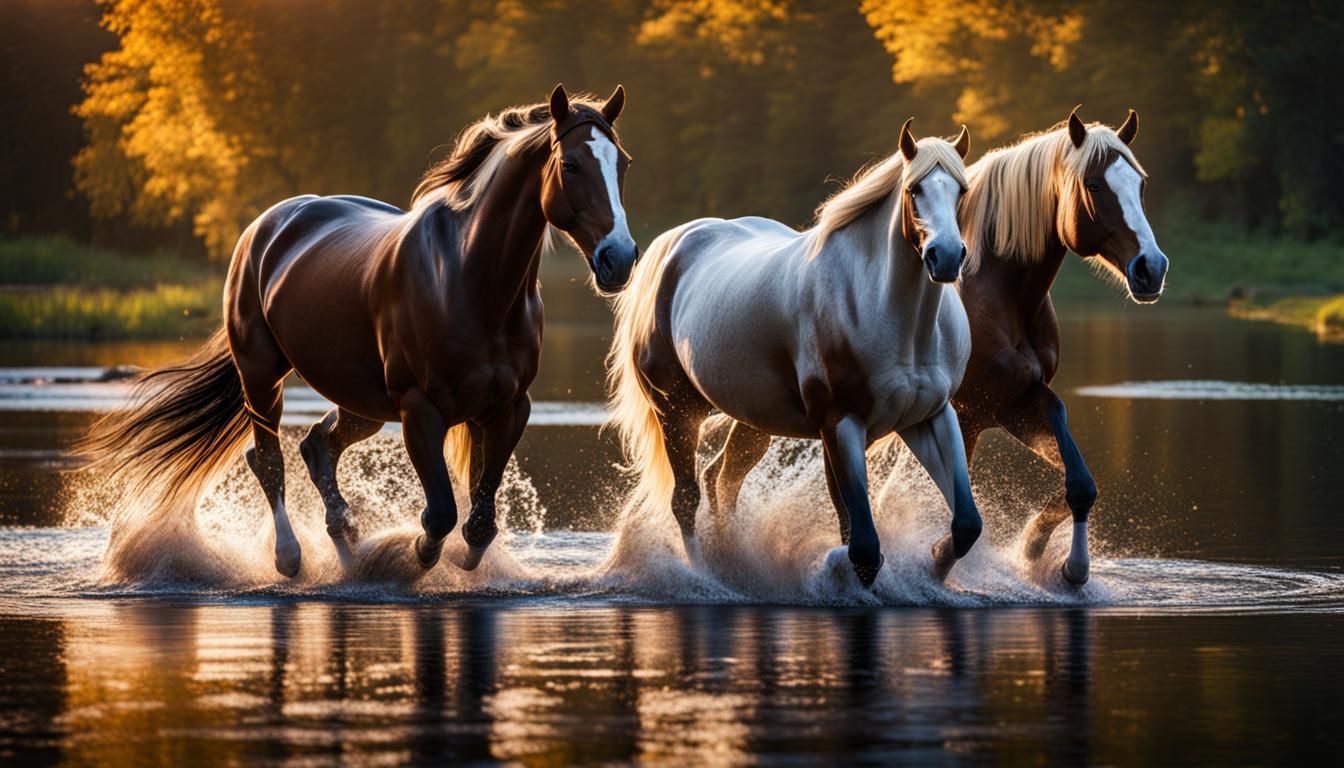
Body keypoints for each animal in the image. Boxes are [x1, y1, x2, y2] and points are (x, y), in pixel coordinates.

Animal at [79, 84, 638, 578]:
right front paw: (410, 558)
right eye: (571, 165)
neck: (468, 278)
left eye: (623, 163)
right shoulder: (420, 410)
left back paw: (345, 539)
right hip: (262, 378)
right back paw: (291, 559)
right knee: (269, 459)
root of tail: (266, 227)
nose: (620, 257)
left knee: (316, 447)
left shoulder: (507, 408)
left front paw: (457, 562)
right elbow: (441, 514)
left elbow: (480, 521)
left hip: (361, 403)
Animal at [608, 120, 978, 587]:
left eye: (961, 189)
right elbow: (862, 546)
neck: (892, 316)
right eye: (915, 189)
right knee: (687, 499)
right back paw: (706, 575)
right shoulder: (840, 424)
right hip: (675, 411)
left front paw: (934, 563)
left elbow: (966, 524)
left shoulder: (929, 416)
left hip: (751, 421)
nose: (945, 257)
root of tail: (670, 246)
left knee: (721, 481)